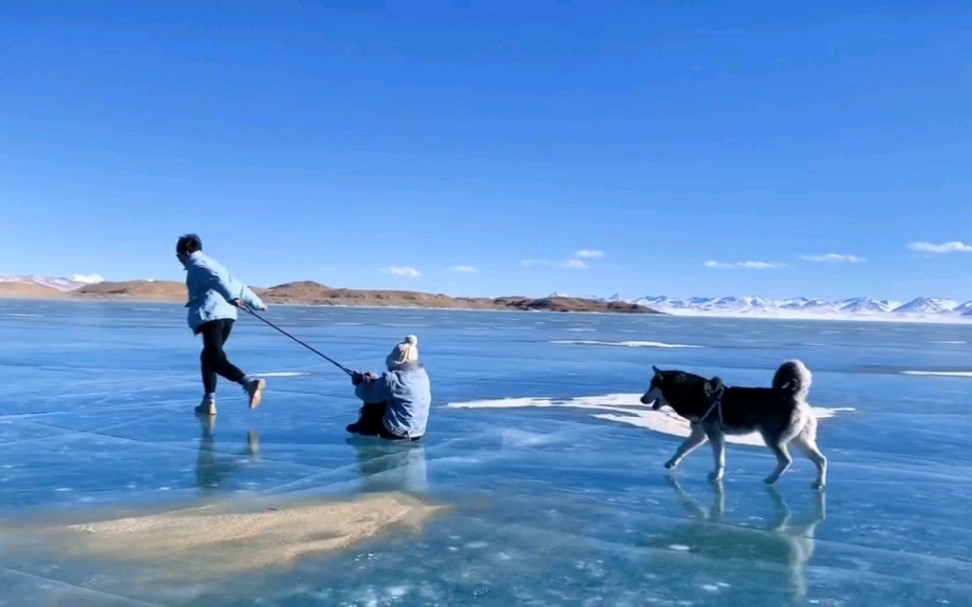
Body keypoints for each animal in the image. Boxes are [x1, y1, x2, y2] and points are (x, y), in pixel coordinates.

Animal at [640, 360, 824, 490]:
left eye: (652, 386)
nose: (641, 399)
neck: (694, 394)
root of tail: (793, 395)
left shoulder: (714, 434)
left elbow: (718, 458)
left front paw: (716, 476)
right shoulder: (699, 434)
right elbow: (682, 448)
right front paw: (671, 462)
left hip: (773, 438)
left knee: (786, 460)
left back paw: (771, 479)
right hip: (800, 439)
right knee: (821, 460)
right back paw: (819, 484)